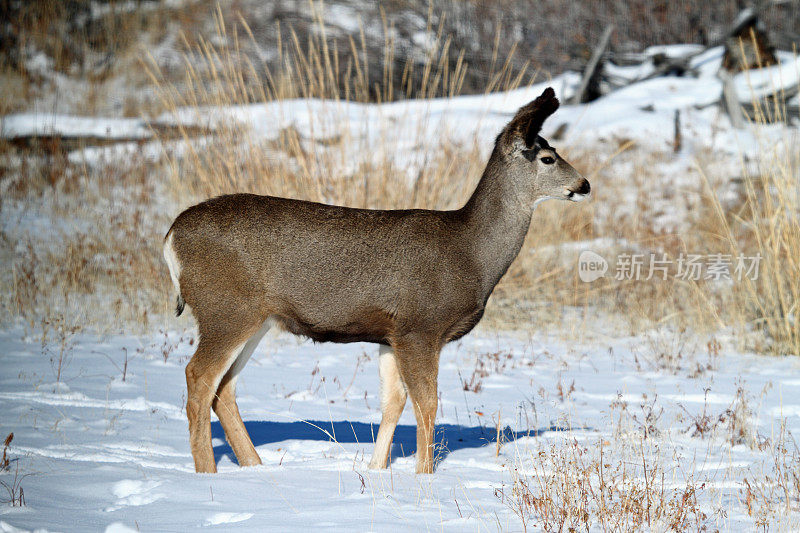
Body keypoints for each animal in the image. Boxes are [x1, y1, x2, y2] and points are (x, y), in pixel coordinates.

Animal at [164, 87, 588, 474]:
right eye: (548, 157)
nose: (584, 184)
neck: (471, 254)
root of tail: (170, 237)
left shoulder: (390, 333)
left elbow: (393, 402)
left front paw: (376, 470)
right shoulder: (421, 326)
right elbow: (427, 403)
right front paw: (424, 477)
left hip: (257, 317)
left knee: (224, 388)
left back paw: (254, 468)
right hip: (226, 308)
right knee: (198, 378)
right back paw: (208, 474)